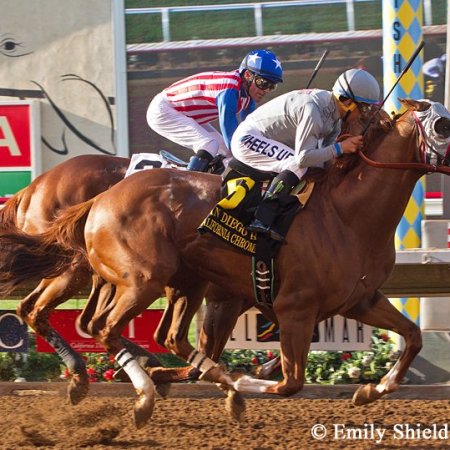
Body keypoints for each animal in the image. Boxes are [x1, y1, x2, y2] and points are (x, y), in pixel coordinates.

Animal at [3, 99, 450, 428]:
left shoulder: (359, 299)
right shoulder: (292, 308)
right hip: (133, 276)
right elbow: (289, 382)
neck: (345, 214)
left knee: (119, 328)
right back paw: (132, 389)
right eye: (443, 125)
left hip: (169, 281)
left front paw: (371, 389)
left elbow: (413, 336)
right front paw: (240, 381)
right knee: (89, 323)